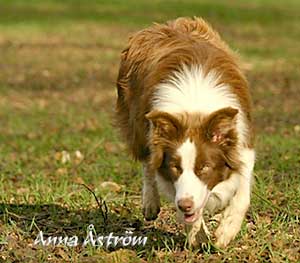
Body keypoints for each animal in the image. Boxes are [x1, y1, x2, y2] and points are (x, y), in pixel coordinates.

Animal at [116, 17, 254, 249]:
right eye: (175, 167)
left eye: (204, 168)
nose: (185, 206)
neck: (194, 108)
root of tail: (163, 24)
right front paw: (197, 236)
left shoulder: (242, 145)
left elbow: (243, 193)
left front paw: (226, 231)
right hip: (134, 121)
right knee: (147, 163)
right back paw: (150, 203)